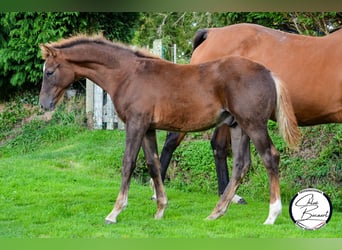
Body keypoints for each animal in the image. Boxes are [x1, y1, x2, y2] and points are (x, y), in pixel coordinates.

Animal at [38, 34, 298, 224]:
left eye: (49, 71)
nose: (44, 104)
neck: (128, 74)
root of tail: (269, 73)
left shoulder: (135, 123)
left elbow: (128, 163)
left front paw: (115, 212)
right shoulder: (148, 128)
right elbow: (153, 164)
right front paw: (160, 209)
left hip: (254, 125)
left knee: (270, 157)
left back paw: (271, 215)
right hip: (238, 127)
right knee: (241, 164)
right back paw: (216, 212)